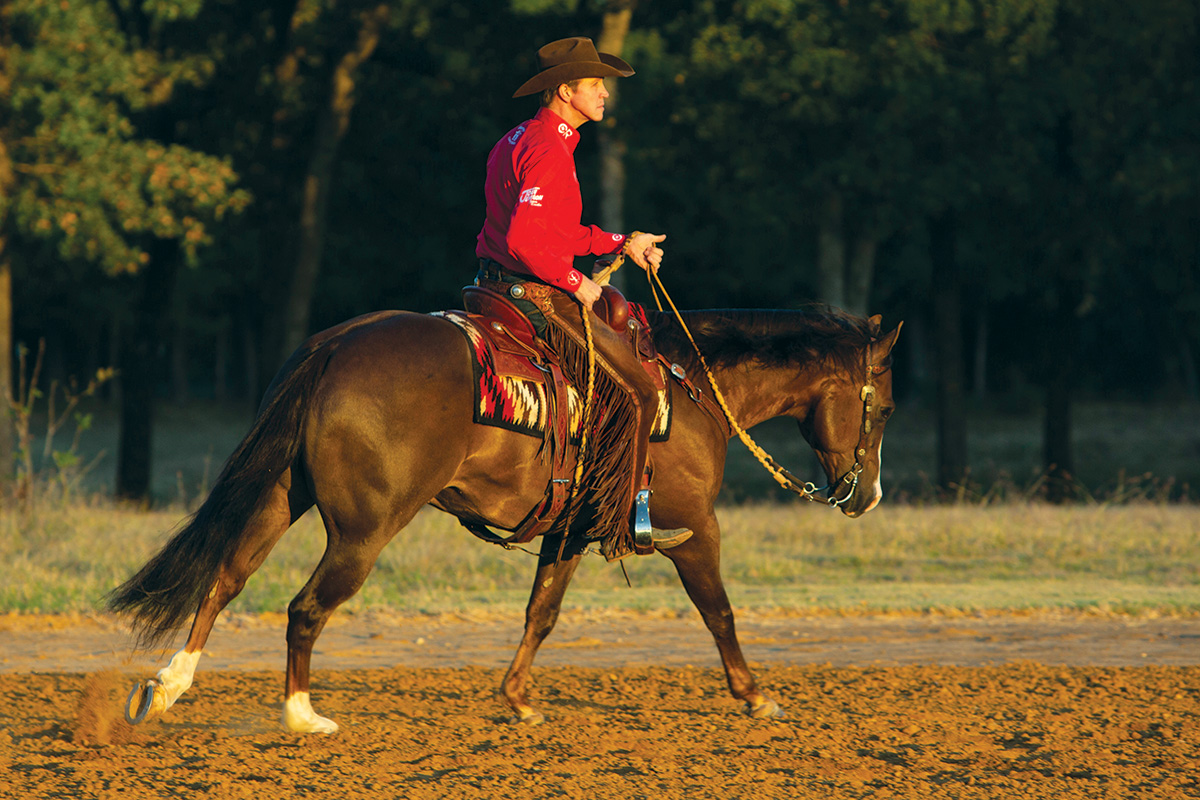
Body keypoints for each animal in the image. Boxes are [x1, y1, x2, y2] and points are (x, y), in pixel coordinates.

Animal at [110, 303, 902, 734]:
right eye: (886, 406)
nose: (867, 497)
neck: (690, 390)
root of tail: (333, 347)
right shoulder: (694, 530)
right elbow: (720, 613)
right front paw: (756, 696)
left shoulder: (568, 531)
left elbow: (540, 613)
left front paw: (517, 700)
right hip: (363, 531)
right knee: (305, 609)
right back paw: (302, 714)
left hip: (281, 495)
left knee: (225, 577)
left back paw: (169, 686)